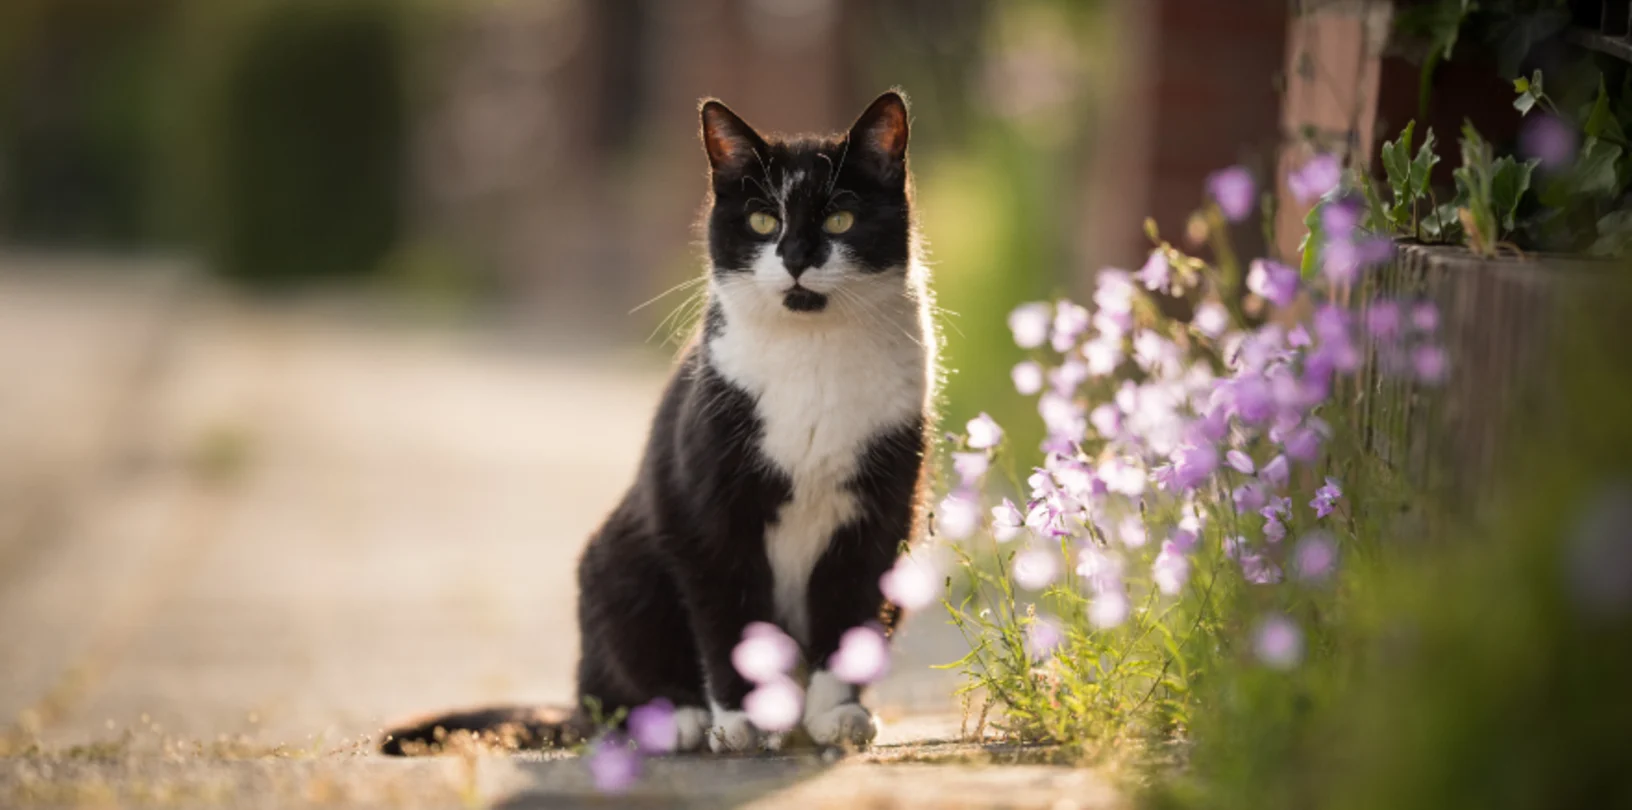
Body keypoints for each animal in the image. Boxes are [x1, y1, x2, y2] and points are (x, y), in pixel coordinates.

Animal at [381, 91, 940, 757]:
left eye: (840, 221)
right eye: (761, 222)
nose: (797, 258)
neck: (814, 355)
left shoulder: (880, 513)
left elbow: (852, 613)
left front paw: (837, 714)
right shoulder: (706, 511)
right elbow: (729, 620)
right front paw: (745, 722)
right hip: (619, 566)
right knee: (607, 699)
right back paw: (677, 720)